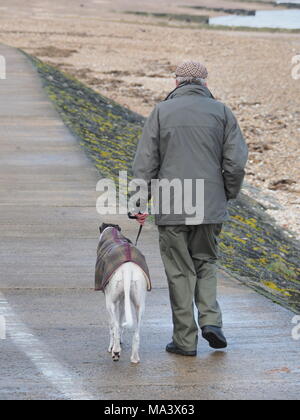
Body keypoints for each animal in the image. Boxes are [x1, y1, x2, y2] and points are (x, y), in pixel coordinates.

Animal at [96, 223, 151, 364]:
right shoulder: (122, 301)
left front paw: (113, 347)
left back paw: (115, 351)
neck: (113, 234)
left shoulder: (112, 300)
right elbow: (121, 322)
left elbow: (113, 326)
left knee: (114, 326)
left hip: (110, 303)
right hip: (139, 304)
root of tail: (127, 269)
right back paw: (134, 358)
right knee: (136, 333)